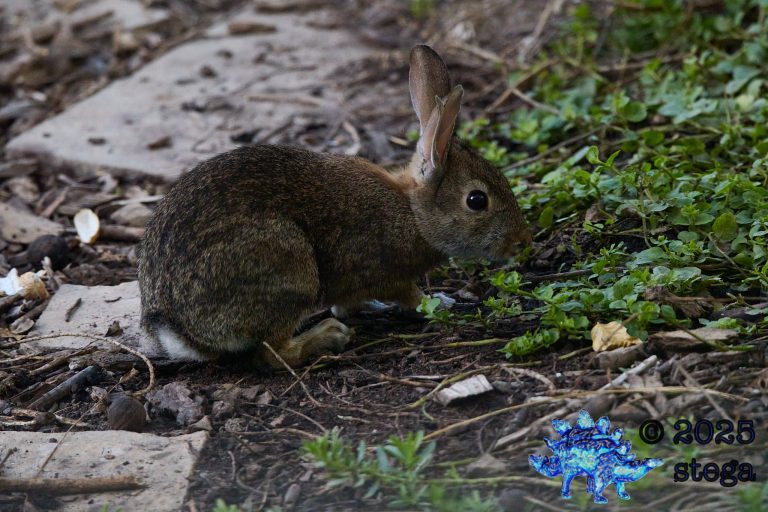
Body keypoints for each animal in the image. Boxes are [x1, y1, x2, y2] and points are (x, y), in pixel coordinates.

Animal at [138, 45, 532, 368]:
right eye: (477, 200)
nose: (521, 241)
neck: (413, 212)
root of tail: (178, 328)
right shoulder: (384, 272)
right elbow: (412, 296)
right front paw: (441, 304)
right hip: (288, 269)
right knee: (274, 353)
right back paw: (327, 335)